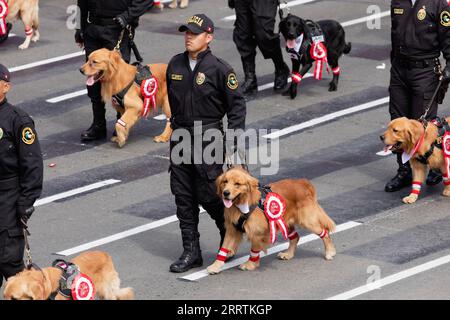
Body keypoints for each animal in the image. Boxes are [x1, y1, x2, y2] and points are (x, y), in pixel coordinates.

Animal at [206, 166, 336, 274]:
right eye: (225, 182)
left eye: (237, 184)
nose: (225, 193)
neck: (242, 204)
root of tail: (303, 182)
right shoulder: (232, 230)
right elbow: (224, 249)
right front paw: (215, 266)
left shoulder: (257, 233)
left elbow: (254, 250)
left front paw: (250, 264)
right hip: (284, 221)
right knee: (295, 237)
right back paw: (288, 254)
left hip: (307, 221)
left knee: (325, 233)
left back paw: (329, 252)